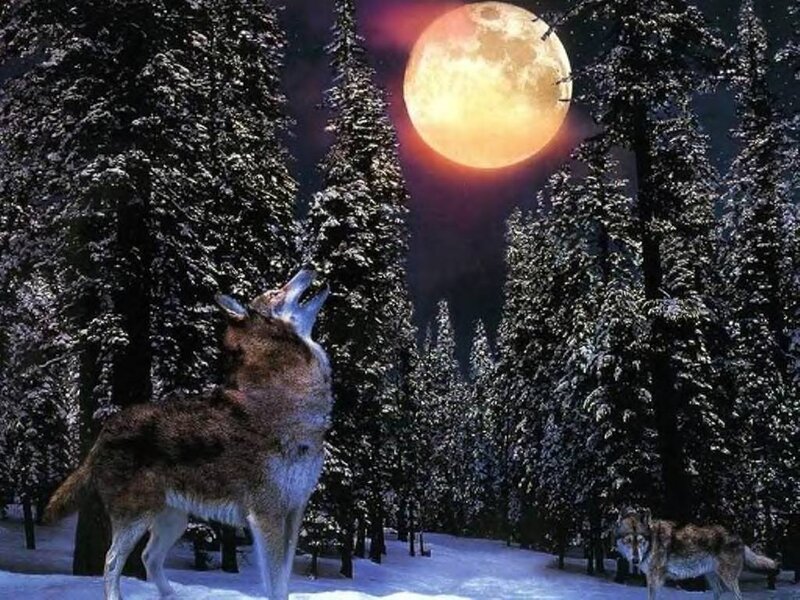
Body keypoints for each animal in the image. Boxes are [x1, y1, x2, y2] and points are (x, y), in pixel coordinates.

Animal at [44, 270, 332, 600]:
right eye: (275, 292)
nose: (309, 269)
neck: (289, 396)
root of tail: (104, 433)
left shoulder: (294, 513)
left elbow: (284, 581)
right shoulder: (266, 516)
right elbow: (274, 584)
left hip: (174, 521)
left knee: (149, 557)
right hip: (137, 519)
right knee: (111, 561)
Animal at [614, 508, 780, 600]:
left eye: (640, 540)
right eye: (628, 540)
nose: (635, 560)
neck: (652, 542)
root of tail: (739, 538)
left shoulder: (655, 579)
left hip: (727, 578)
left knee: (738, 596)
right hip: (712, 577)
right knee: (718, 592)